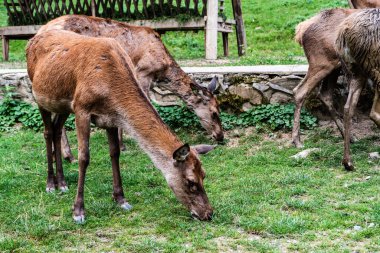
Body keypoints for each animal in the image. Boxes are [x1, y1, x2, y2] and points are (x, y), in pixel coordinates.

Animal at [27, 29, 214, 222]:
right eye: (190, 182)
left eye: (204, 175)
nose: (208, 213)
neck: (110, 88)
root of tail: (33, 39)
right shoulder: (81, 108)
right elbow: (84, 157)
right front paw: (78, 211)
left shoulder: (110, 118)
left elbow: (115, 153)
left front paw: (121, 199)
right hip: (39, 95)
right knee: (48, 132)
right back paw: (51, 184)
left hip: (63, 106)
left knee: (56, 129)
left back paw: (62, 183)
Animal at [40, 14, 226, 160]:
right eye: (214, 112)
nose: (220, 136)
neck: (162, 70)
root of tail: (41, 30)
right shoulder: (142, 73)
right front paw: (124, 144)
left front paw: (121, 143)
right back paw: (68, 155)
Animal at [336, 8, 380, 170]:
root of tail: (344, 32)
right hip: (374, 68)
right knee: (373, 112)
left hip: (356, 71)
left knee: (348, 107)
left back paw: (348, 162)